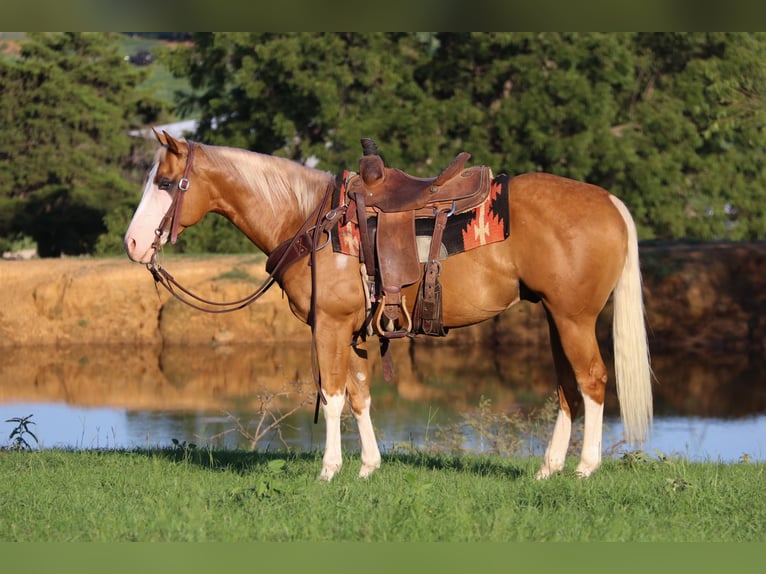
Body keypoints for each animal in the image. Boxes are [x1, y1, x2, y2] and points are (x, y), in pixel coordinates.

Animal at [126, 130, 656, 482]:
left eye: (167, 183)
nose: (132, 243)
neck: (310, 220)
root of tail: (610, 201)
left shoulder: (329, 326)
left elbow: (332, 395)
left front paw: (329, 471)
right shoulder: (353, 331)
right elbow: (360, 394)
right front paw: (367, 467)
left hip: (573, 319)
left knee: (592, 380)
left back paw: (585, 468)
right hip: (555, 316)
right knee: (569, 388)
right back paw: (549, 468)